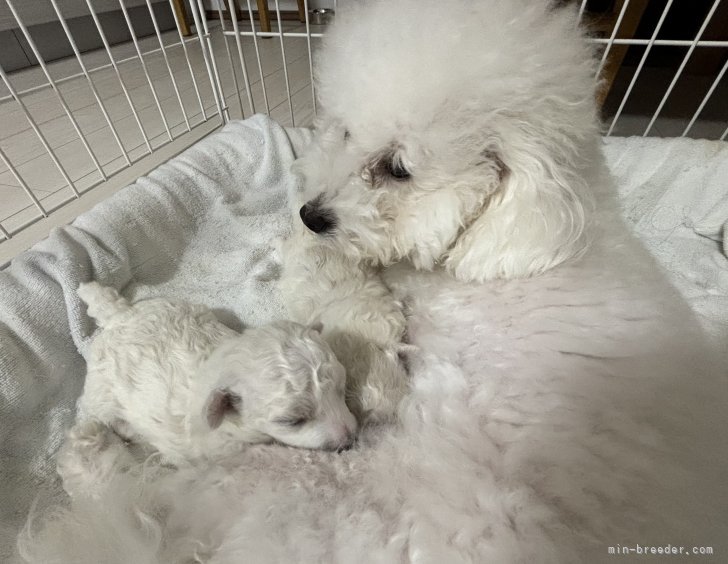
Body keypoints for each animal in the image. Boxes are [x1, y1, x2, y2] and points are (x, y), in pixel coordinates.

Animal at [61, 284, 356, 474]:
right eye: (292, 421)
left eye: (342, 390)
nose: (351, 438)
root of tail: (119, 314)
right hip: (101, 387)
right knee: (93, 411)